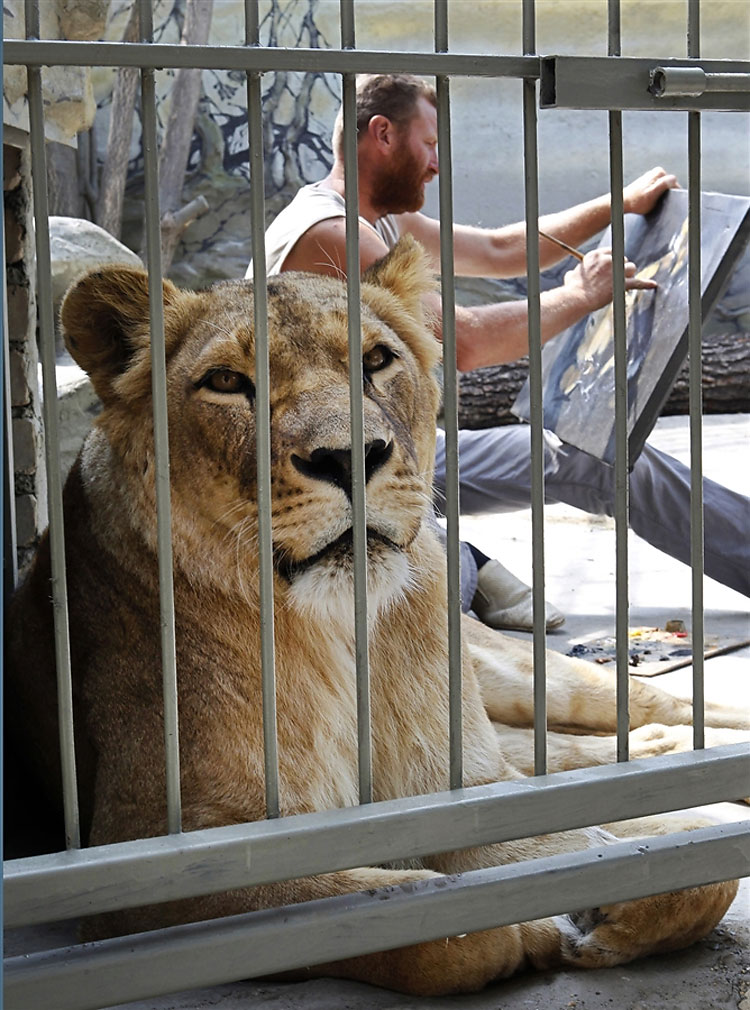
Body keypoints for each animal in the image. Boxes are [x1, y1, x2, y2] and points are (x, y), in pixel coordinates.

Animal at [6, 236, 748, 996]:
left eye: (377, 361)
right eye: (226, 381)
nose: (349, 457)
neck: (340, 627)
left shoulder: (465, 786)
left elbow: (677, 864)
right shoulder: (151, 854)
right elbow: (396, 913)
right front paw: (530, 927)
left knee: (644, 705)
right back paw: (659, 753)